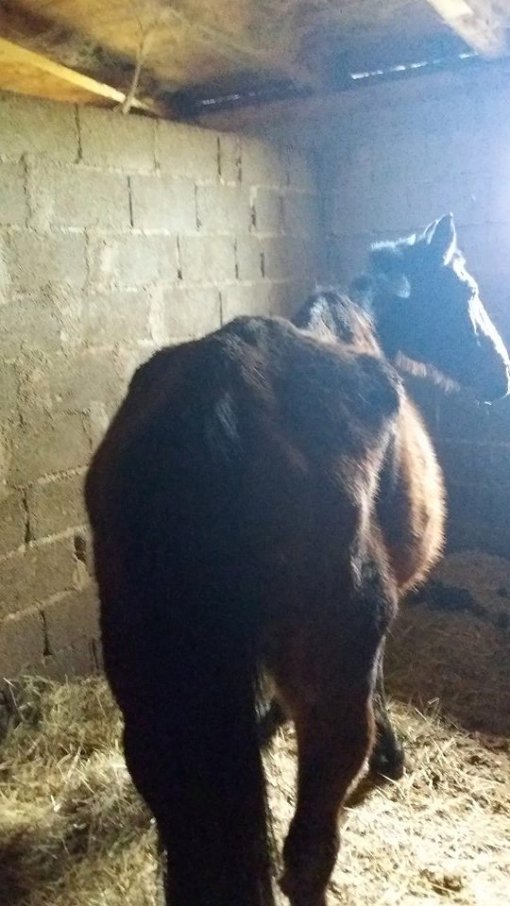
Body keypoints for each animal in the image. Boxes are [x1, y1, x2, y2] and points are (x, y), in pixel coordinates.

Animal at [85, 213, 509, 906]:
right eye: (467, 289)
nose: (500, 374)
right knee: (308, 854)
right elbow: (380, 677)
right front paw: (391, 756)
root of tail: (219, 403)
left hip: (150, 710)